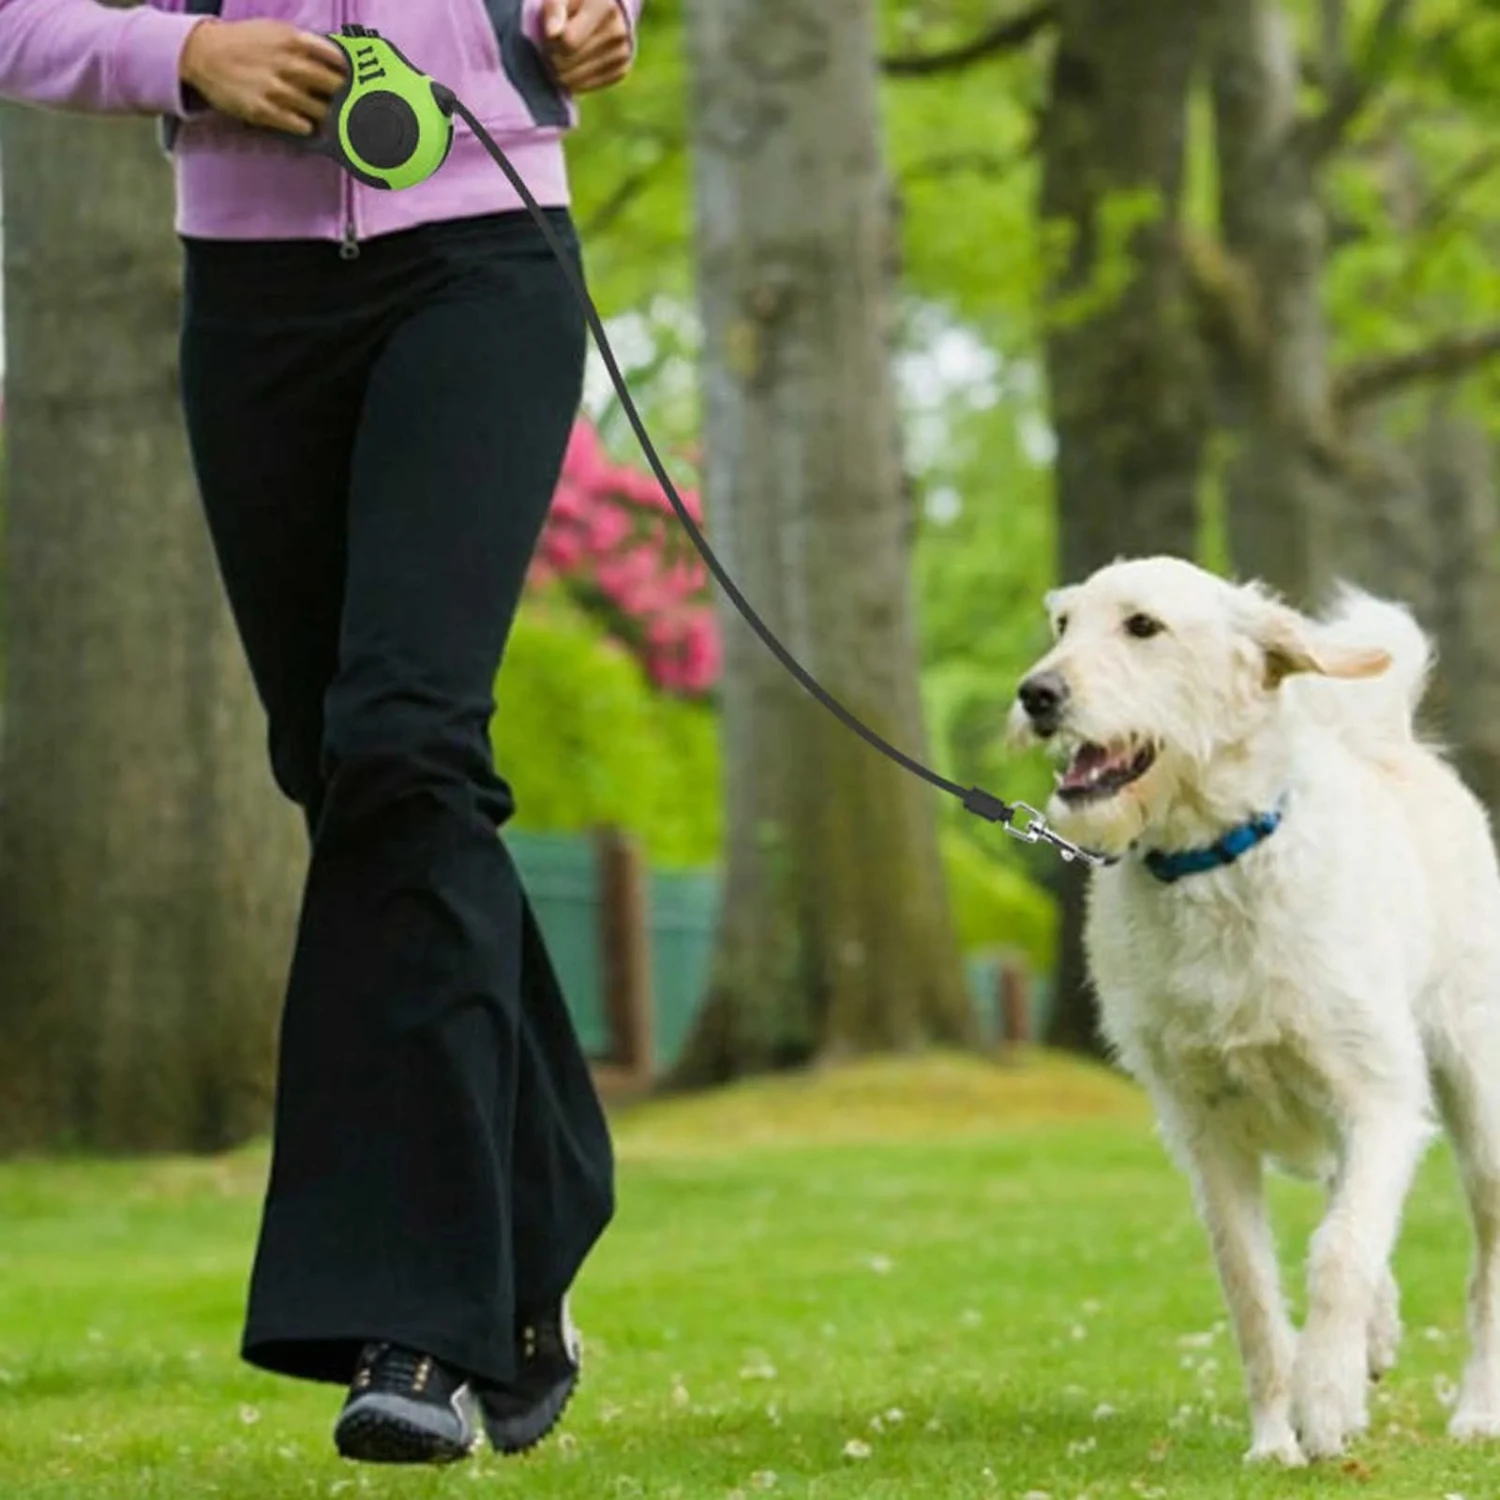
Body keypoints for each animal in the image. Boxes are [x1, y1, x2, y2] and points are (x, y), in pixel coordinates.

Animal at [1008, 555, 1500, 1464]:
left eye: (1143, 626)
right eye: (1063, 624)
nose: (1036, 694)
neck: (1213, 865)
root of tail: (1392, 743)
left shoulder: (1379, 1101)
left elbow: (1339, 1252)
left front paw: (1327, 1399)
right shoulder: (1208, 1135)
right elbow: (1251, 1289)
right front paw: (1276, 1436)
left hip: (1479, 1110)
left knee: (1480, 1261)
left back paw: (1477, 1410)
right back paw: (1378, 1336)